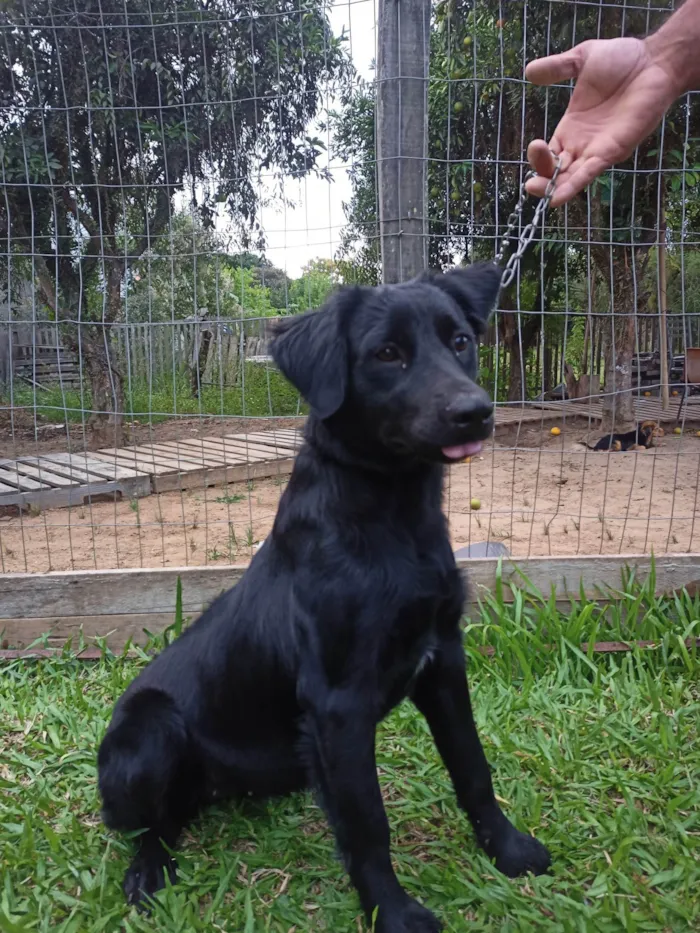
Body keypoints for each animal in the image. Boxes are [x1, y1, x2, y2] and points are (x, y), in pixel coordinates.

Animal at [95, 264, 548, 932]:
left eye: (461, 341)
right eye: (387, 354)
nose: (476, 412)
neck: (393, 519)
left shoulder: (443, 662)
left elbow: (472, 766)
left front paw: (508, 849)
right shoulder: (338, 703)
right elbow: (367, 823)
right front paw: (393, 912)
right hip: (149, 736)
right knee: (154, 823)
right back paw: (149, 870)